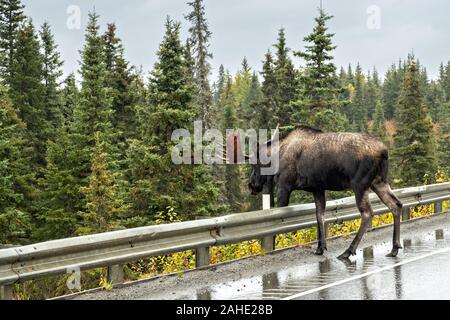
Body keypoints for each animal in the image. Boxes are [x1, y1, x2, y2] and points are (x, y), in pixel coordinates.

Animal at [246, 125, 404, 260]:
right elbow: (319, 216)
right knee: (396, 204)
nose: (251, 185)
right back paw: (394, 248)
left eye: (254, 164)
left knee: (367, 213)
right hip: (379, 182)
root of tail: (384, 152)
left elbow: (277, 222)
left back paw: (348, 251)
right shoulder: (318, 188)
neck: (277, 156)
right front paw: (320, 247)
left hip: (360, 185)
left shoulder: (285, 185)